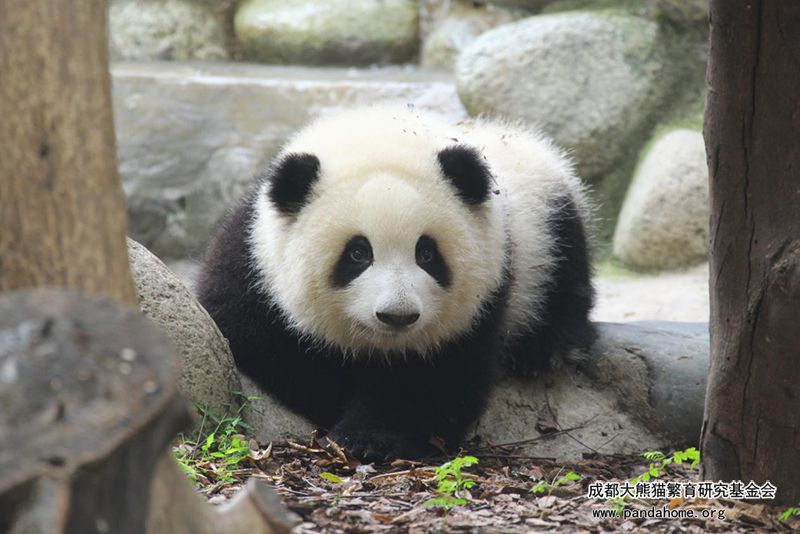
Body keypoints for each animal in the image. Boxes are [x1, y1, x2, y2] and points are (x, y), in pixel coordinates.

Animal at [195, 105, 592, 464]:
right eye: (357, 253)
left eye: (427, 253)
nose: (397, 316)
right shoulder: (254, 260)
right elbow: (255, 337)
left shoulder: (484, 294)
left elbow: (434, 380)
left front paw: (369, 438)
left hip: (546, 217)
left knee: (565, 274)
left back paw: (541, 352)